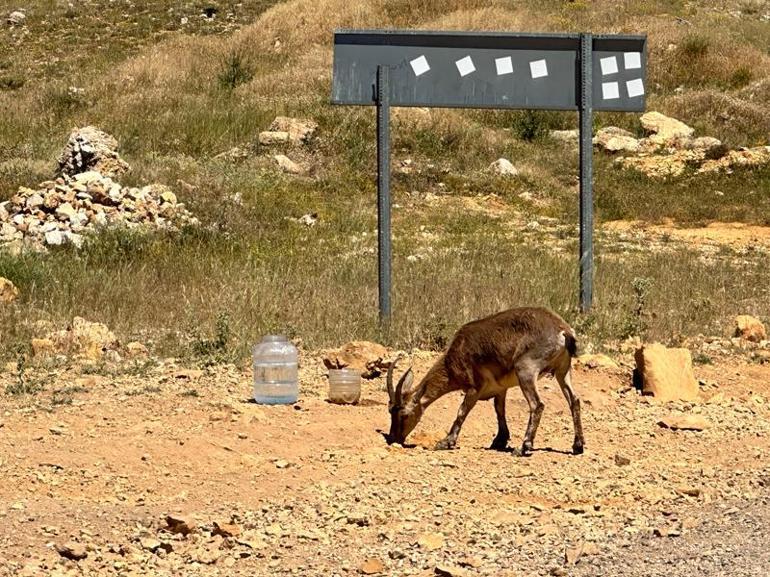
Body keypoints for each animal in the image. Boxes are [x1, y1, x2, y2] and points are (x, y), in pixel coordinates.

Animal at [384, 306, 584, 454]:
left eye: (404, 414)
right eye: (390, 412)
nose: (394, 438)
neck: (454, 358)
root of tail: (563, 331)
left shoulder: (474, 387)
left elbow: (462, 411)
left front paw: (445, 442)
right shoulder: (500, 388)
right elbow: (499, 410)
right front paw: (499, 440)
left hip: (526, 370)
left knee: (537, 404)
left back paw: (524, 447)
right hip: (563, 370)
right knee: (574, 400)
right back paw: (578, 445)